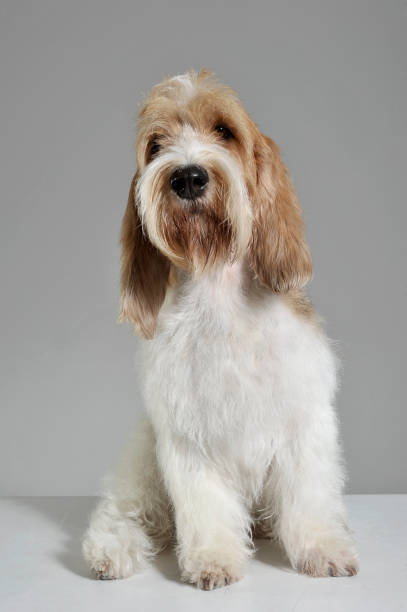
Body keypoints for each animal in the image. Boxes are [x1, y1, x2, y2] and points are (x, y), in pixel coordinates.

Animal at [83, 69, 360, 592]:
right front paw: (214, 559)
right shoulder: (187, 438)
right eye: (156, 145)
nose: (188, 176)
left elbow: (310, 495)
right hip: (143, 458)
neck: (219, 296)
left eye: (224, 131)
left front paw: (322, 550)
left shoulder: (303, 420)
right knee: (126, 512)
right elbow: (205, 506)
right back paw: (111, 551)